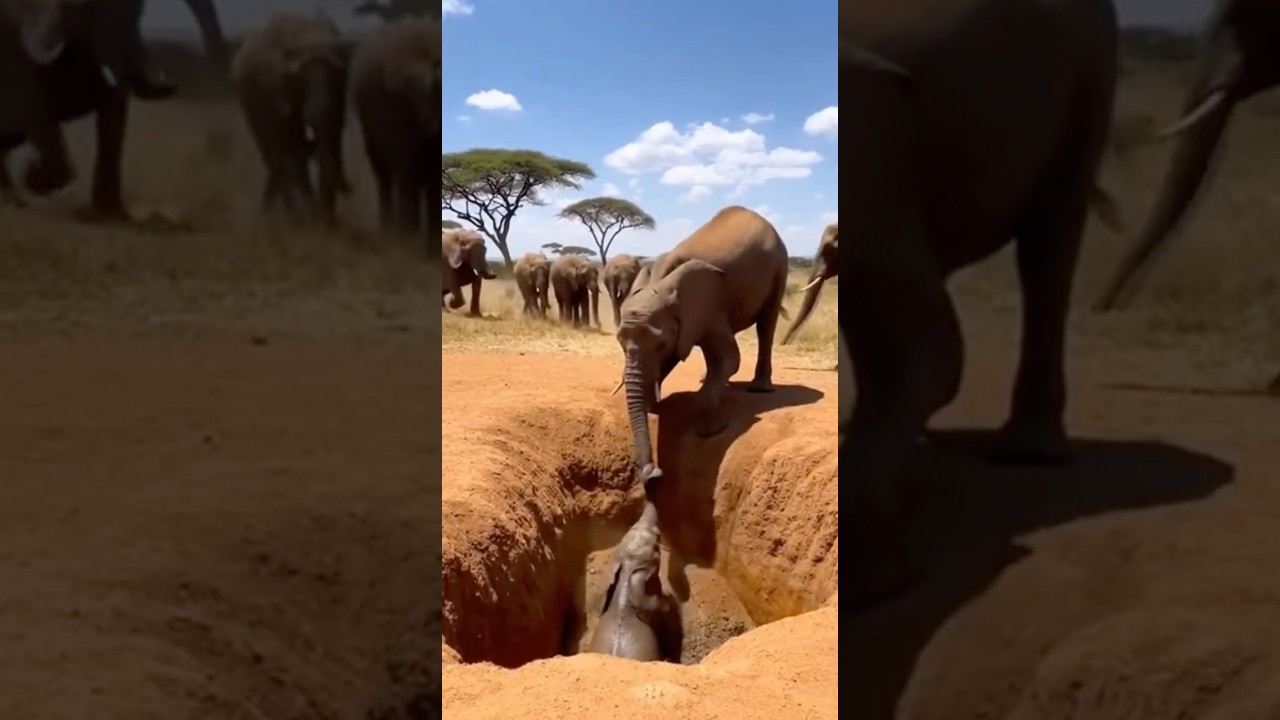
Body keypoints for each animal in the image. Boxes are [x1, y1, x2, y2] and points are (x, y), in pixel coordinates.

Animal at [0, 0, 227, 218]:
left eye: (140, 11)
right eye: (87, 10)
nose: (169, 83)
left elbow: (113, 120)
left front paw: (108, 213)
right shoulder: (15, 49)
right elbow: (33, 110)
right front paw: (31, 176)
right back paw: (12, 201)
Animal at [230, 11, 352, 223]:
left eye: (339, 76)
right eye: (300, 81)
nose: (348, 187)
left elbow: (327, 141)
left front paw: (324, 219)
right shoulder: (275, 91)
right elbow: (292, 147)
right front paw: (312, 218)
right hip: (249, 101)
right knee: (273, 152)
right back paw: (290, 215)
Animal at [616, 206, 789, 483]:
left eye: (660, 345)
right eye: (620, 343)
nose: (653, 474)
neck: (661, 281)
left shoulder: (710, 306)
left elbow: (730, 358)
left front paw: (711, 430)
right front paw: (654, 403)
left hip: (779, 267)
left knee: (766, 324)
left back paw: (759, 388)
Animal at [839, 0, 1118, 609]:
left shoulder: (866, 143)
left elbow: (930, 348)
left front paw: (876, 585)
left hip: (1093, 73)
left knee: (1050, 242)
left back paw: (1027, 454)